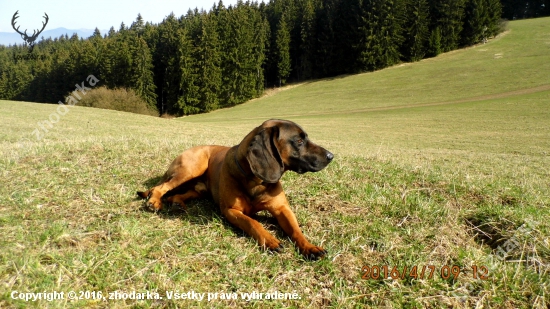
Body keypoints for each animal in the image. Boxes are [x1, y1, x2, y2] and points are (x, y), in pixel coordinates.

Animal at [140, 119, 334, 258]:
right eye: (299, 141)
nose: (331, 156)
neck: (256, 181)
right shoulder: (231, 211)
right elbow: (253, 222)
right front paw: (270, 240)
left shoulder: (282, 209)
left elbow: (295, 229)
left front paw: (310, 247)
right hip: (191, 168)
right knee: (160, 187)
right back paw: (154, 202)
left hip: (198, 188)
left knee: (177, 194)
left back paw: (177, 203)